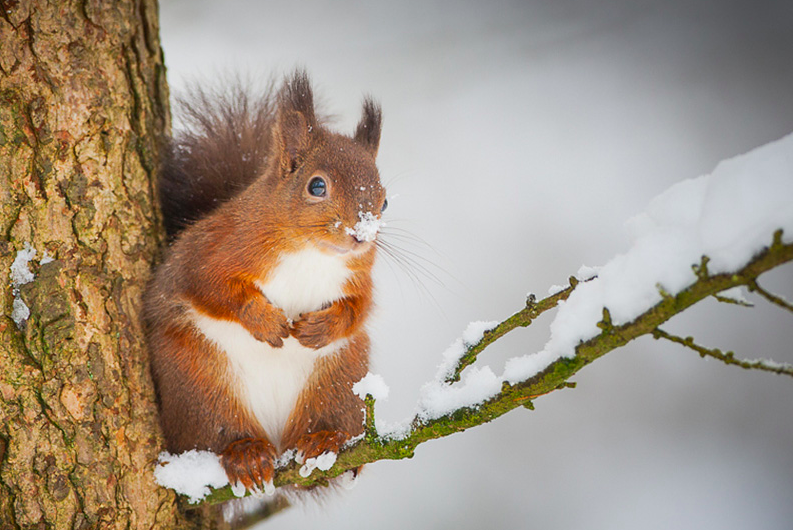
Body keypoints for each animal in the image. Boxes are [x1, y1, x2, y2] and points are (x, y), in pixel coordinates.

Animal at [146, 71, 390, 496]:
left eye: (385, 201)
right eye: (317, 186)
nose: (362, 235)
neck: (310, 253)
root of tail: (277, 438)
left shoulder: (360, 278)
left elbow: (358, 309)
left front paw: (322, 327)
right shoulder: (211, 250)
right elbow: (210, 287)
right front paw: (264, 320)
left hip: (340, 380)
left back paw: (323, 442)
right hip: (199, 383)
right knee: (219, 432)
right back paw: (245, 452)